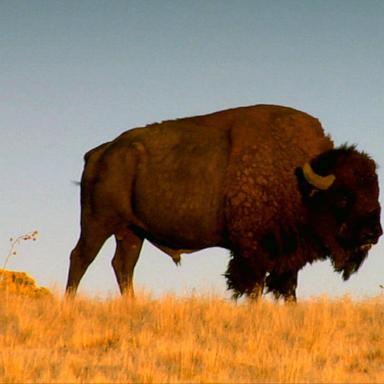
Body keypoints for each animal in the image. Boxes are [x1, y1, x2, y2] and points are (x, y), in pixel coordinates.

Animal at [65, 104, 380, 300]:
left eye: (376, 193)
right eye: (343, 197)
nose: (373, 234)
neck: (299, 179)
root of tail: (100, 152)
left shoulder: (287, 257)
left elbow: (288, 288)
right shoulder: (251, 252)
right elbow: (253, 287)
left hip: (132, 232)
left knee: (123, 265)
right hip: (97, 223)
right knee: (80, 257)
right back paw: (70, 301)